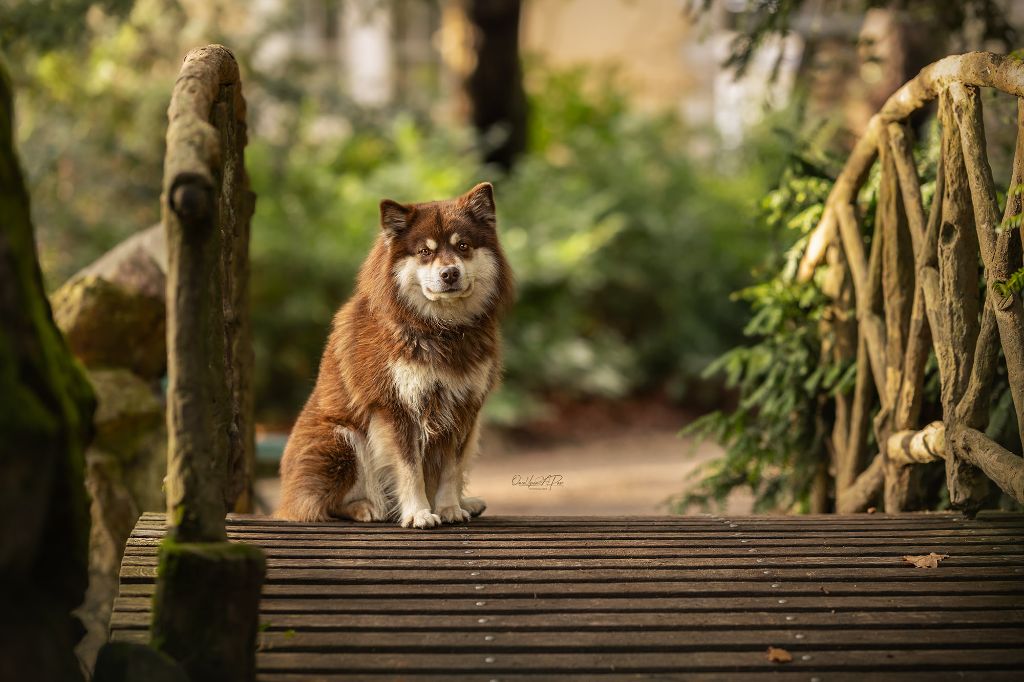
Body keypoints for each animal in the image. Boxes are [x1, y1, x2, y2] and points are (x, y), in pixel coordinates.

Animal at [274, 182, 512, 524]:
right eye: (425, 252)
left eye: (463, 246)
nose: (450, 274)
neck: (440, 329)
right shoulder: (396, 408)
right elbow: (409, 470)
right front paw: (419, 513)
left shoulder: (464, 408)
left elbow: (451, 469)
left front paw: (449, 508)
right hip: (341, 438)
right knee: (320, 506)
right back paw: (366, 507)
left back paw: (466, 502)